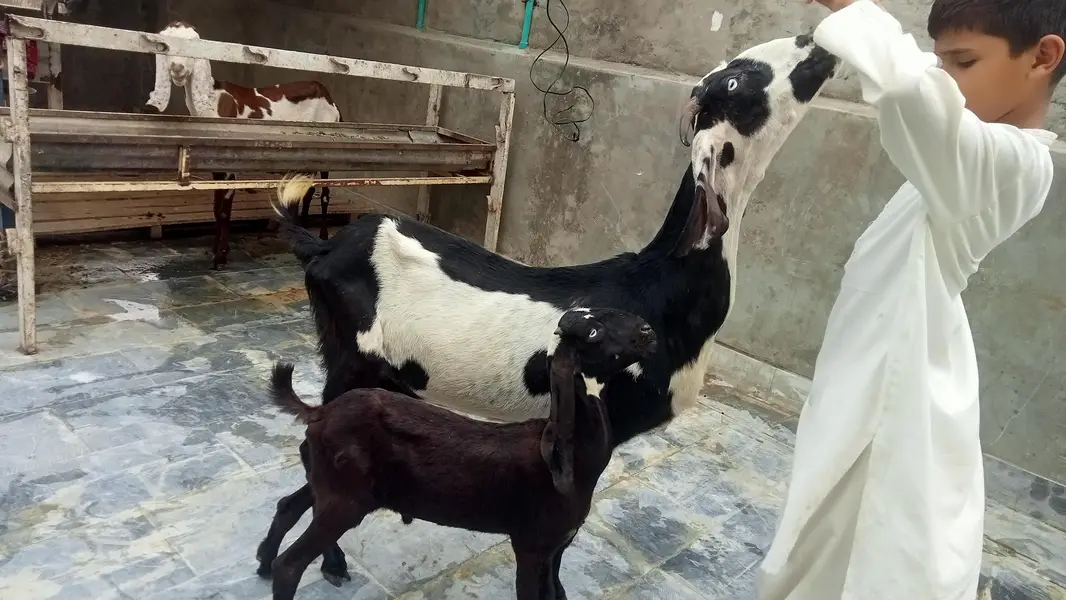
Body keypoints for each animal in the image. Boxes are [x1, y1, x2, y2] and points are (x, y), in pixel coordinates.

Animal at [146, 21, 342, 268]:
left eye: (193, 46)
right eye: (165, 46)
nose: (177, 69)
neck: (214, 101)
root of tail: (328, 95)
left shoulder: (231, 164)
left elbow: (225, 210)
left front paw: (220, 257)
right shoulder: (215, 164)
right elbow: (216, 207)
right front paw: (215, 250)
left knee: (324, 194)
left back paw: (322, 237)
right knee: (307, 190)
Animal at [263, 307, 657, 600]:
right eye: (593, 333)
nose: (649, 330)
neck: (572, 459)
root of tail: (320, 413)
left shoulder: (559, 545)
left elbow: (556, 592)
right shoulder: (532, 545)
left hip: (331, 481)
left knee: (290, 507)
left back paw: (270, 563)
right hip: (346, 498)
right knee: (290, 565)